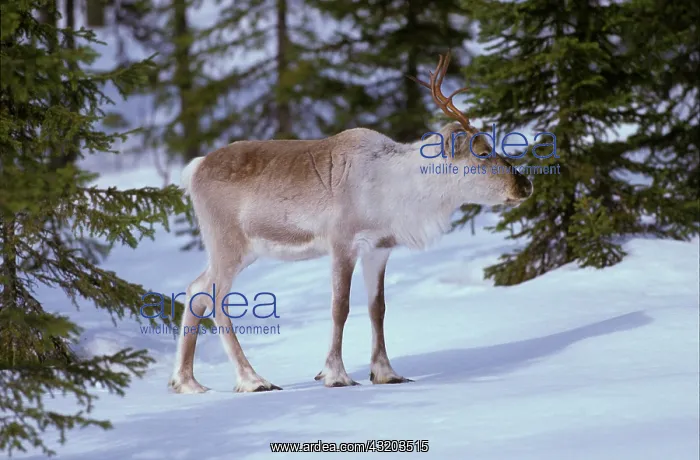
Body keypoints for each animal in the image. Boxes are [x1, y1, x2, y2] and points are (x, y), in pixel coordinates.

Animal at [168, 52, 533, 394]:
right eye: (482, 151)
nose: (525, 185)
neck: (399, 189)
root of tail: (194, 169)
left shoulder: (379, 248)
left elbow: (377, 308)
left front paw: (386, 373)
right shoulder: (342, 243)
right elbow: (340, 308)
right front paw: (335, 375)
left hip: (241, 251)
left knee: (196, 290)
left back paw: (187, 382)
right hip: (228, 243)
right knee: (215, 299)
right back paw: (253, 380)